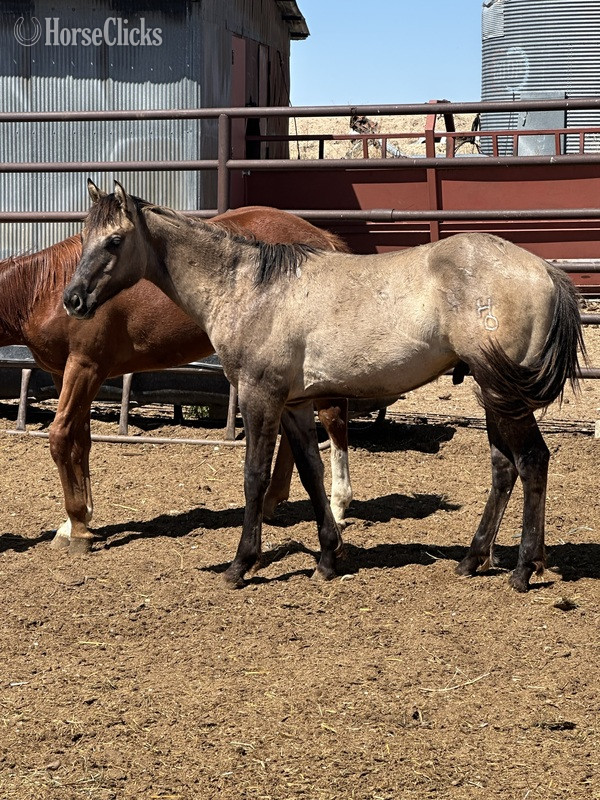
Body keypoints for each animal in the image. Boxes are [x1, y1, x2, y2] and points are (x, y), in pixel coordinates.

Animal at [0, 201, 353, 552]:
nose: (74, 301)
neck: (42, 292)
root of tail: (323, 236)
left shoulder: (85, 367)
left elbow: (60, 437)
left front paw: (77, 528)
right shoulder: (64, 374)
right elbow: (81, 441)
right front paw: (79, 520)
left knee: (333, 418)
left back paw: (338, 507)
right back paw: (271, 502)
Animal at [64, 182, 586, 592]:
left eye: (114, 240)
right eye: (86, 238)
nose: (73, 300)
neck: (252, 288)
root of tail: (546, 271)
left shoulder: (260, 397)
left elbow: (255, 477)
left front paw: (241, 564)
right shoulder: (295, 405)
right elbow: (312, 474)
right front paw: (329, 558)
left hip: (503, 393)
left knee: (532, 461)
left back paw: (524, 568)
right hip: (492, 394)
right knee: (504, 467)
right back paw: (473, 559)